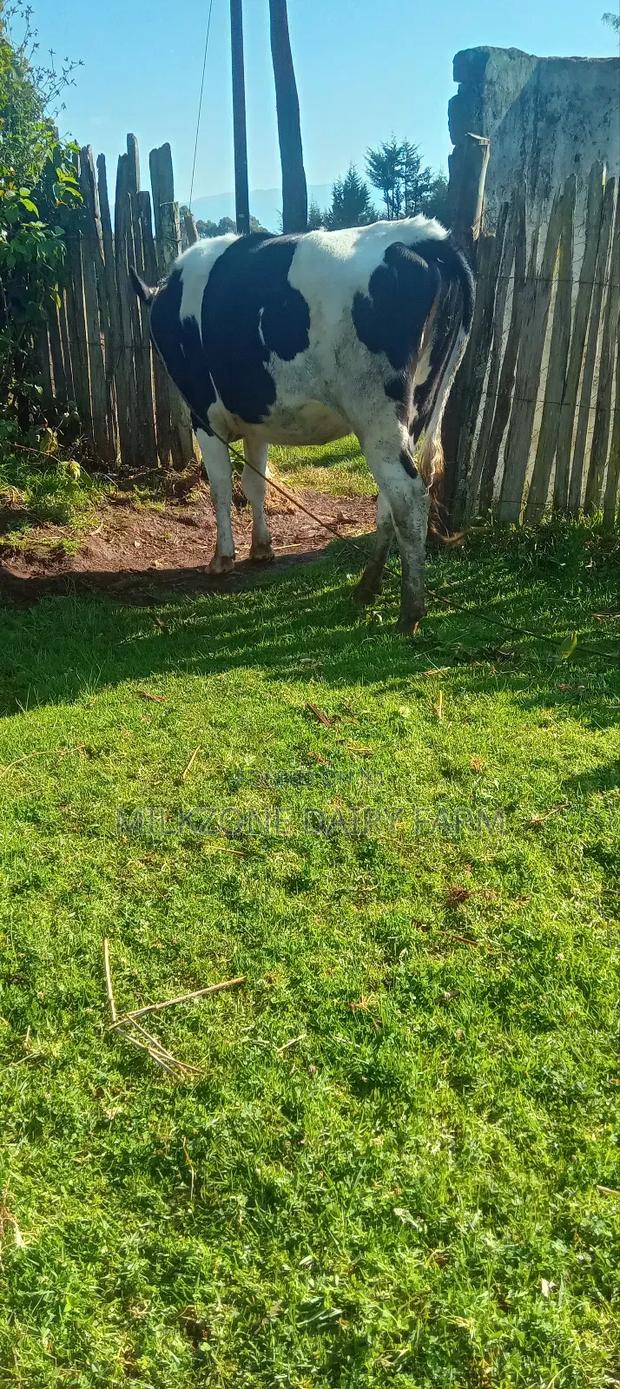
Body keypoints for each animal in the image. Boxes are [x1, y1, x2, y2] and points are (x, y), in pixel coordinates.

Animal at [130, 218, 474, 630]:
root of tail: (423, 235)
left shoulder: (205, 417)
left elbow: (222, 488)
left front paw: (222, 557)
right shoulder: (256, 422)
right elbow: (255, 485)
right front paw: (261, 548)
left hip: (376, 415)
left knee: (408, 497)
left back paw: (410, 611)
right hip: (415, 411)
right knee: (390, 498)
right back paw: (367, 586)